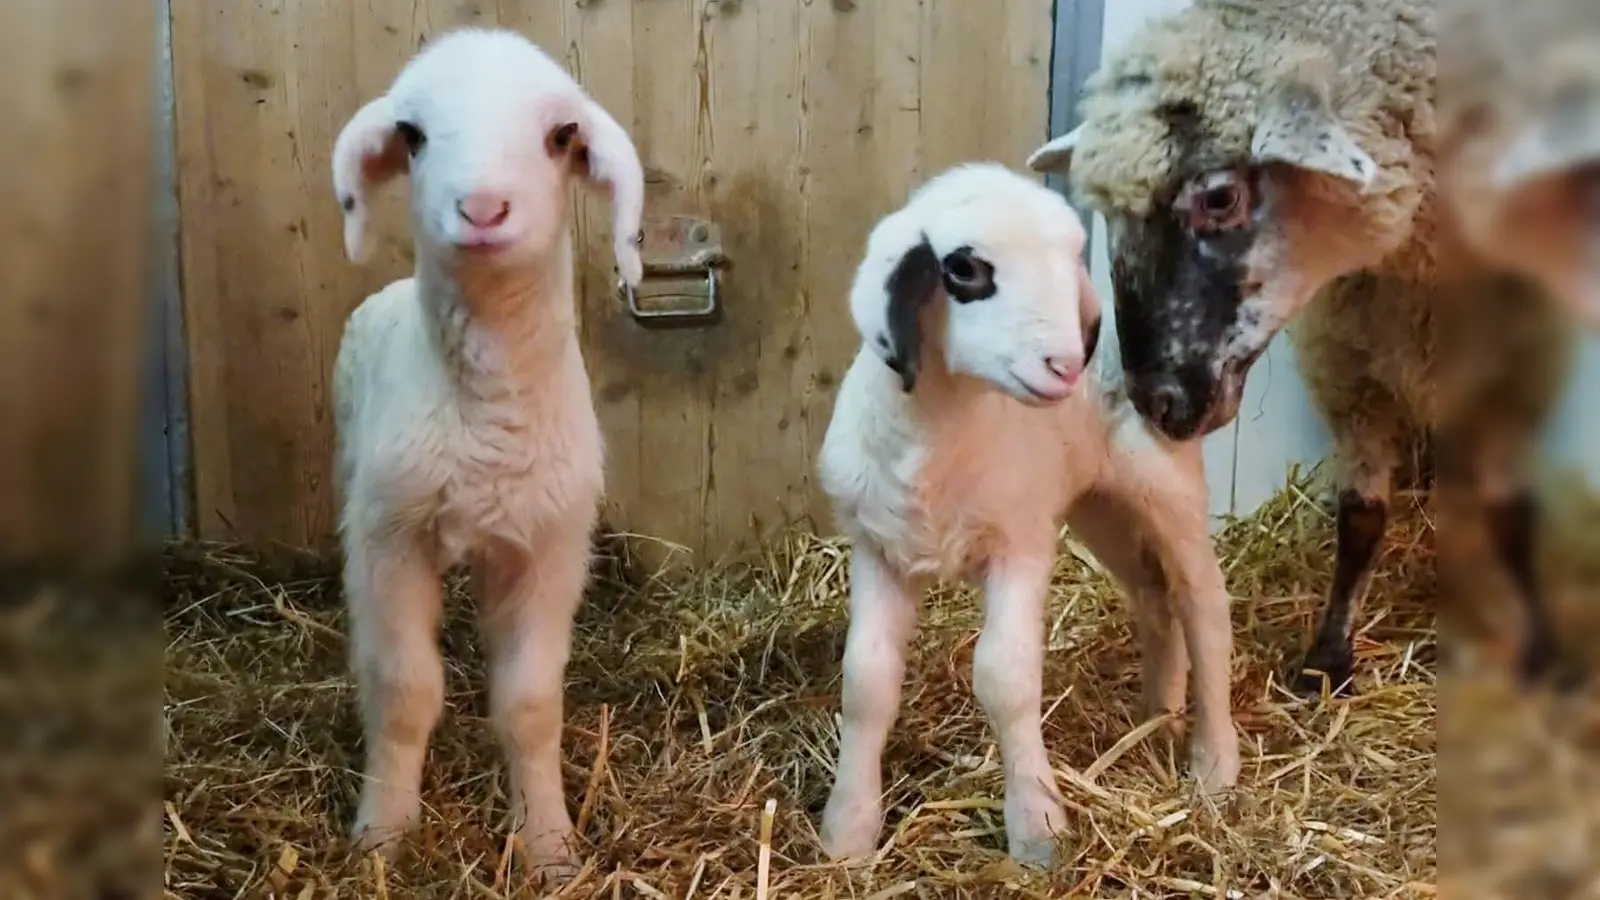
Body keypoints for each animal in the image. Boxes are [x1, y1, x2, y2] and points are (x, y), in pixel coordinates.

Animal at [324, 28, 643, 877]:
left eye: (562, 136)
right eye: (411, 135)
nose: (482, 209)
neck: (489, 413)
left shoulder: (550, 550)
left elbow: (529, 705)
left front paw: (550, 845)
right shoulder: (389, 541)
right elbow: (405, 692)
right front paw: (383, 835)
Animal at [1030, 0, 1580, 695]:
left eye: (1219, 197)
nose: (1157, 402)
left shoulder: (1520, 357)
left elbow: (1514, 511)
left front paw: (1547, 653)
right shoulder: (1347, 365)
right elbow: (1361, 517)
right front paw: (1327, 657)